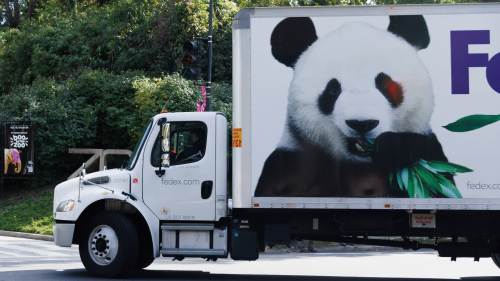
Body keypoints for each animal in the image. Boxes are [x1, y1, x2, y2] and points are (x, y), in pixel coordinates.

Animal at [254, 14, 450, 197]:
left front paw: (393, 146)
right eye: (333, 90)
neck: (361, 164)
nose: (362, 123)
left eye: (385, 85)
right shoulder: (290, 164)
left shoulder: (431, 159)